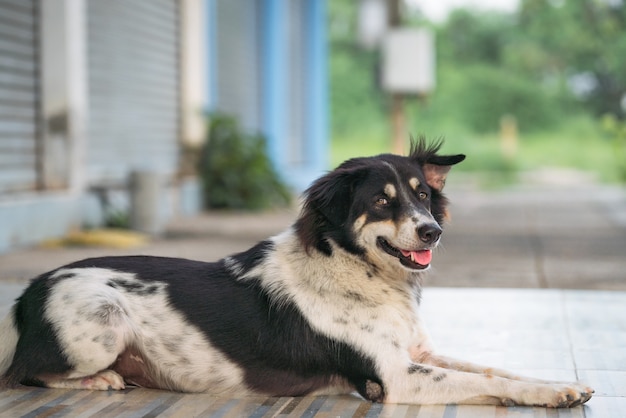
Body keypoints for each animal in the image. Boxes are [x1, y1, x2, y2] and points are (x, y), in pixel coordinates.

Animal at [0, 139, 588, 406]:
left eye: (423, 196)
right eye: (382, 201)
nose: (431, 232)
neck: (360, 273)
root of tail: (28, 291)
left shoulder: (419, 354)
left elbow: (494, 370)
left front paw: (557, 385)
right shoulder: (393, 377)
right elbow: (480, 381)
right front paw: (551, 395)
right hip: (101, 322)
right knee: (27, 371)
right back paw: (100, 378)